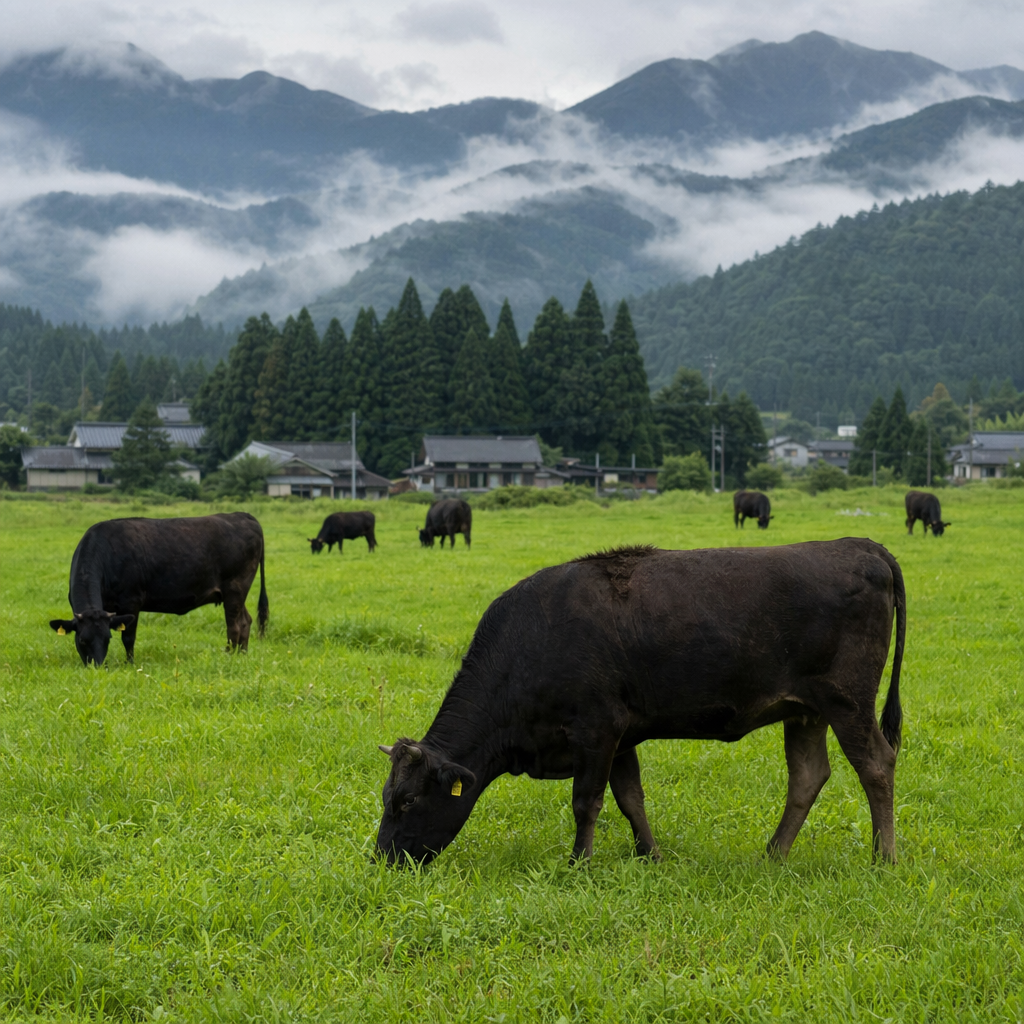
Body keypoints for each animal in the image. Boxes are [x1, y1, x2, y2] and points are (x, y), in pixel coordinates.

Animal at [49, 512, 268, 666]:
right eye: (82, 640)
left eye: (107, 639)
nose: (98, 666)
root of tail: (242, 515)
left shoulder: (131, 601)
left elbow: (128, 637)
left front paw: (130, 664)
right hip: (234, 594)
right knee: (246, 621)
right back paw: (242, 654)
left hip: (235, 588)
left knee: (235, 625)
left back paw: (229, 655)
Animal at [377, 539, 905, 867]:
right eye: (387, 796)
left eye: (407, 800)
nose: (382, 860)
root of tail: (860, 546)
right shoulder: (622, 734)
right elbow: (630, 797)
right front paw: (649, 855)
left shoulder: (597, 728)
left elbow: (586, 801)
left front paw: (579, 863)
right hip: (805, 711)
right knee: (808, 776)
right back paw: (773, 854)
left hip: (848, 701)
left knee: (876, 766)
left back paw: (883, 858)